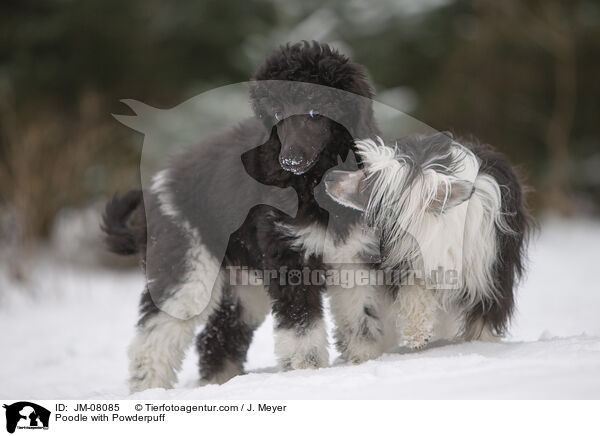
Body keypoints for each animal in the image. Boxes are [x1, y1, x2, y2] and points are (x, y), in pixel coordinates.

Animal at [102, 41, 376, 392]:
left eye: (317, 109)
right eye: (277, 114)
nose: (289, 160)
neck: (314, 181)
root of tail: (157, 189)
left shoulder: (353, 254)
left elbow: (362, 318)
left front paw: (365, 360)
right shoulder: (289, 256)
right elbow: (301, 326)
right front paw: (305, 371)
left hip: (242, 280)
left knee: (219, 336)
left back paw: (219, 383)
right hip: (187, 266)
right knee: (154, 338)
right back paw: (150, 389)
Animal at [326, 131, 532, 350]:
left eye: (368, 184)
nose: (329, 177)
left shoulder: (489, 275)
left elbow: (483, 316)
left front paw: (480, 344)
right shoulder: (403, 258)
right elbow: (413, 291)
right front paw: (417, 332)